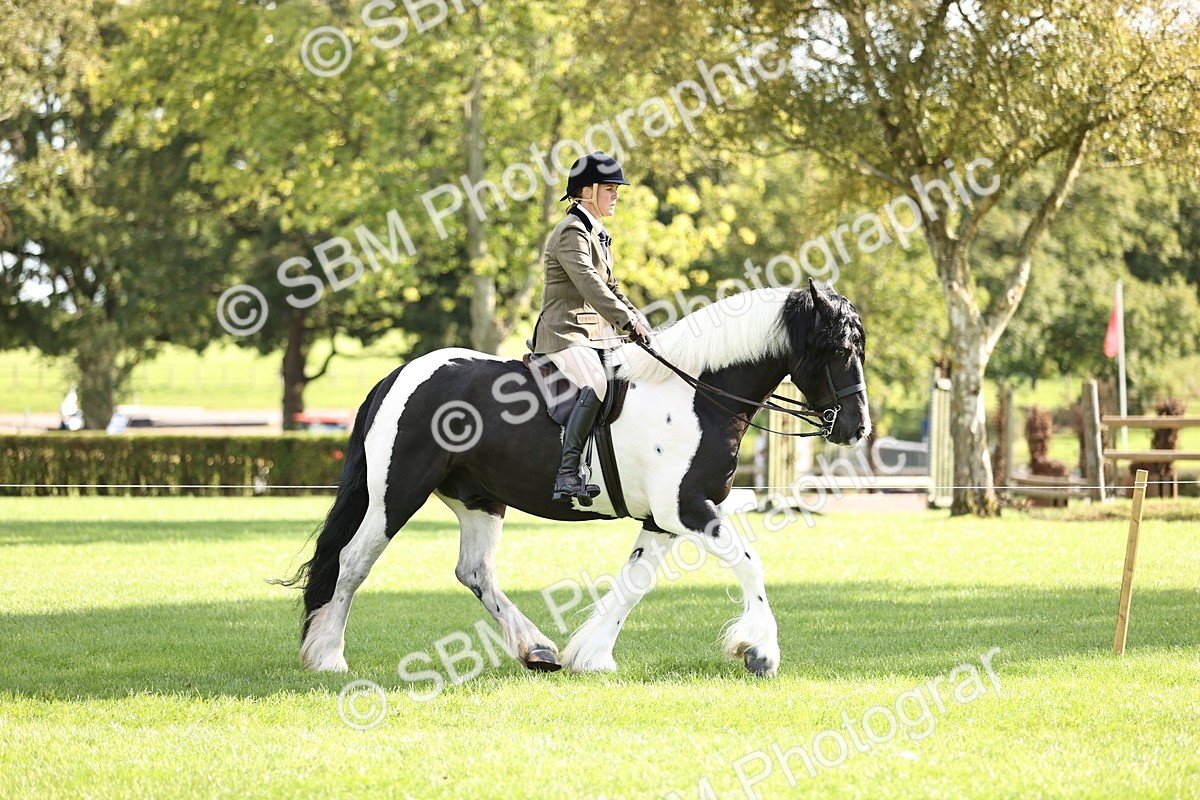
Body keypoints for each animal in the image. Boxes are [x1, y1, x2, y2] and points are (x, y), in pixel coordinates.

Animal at [288, 279, 869, 678]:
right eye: (841, 350)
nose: (857, 427)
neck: (696, 392)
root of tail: (399, 375)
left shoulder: (665, 518)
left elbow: (636, 581)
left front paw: (592, 655)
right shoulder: (687, 508)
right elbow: (750, 562)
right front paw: (760, 652)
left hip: (478, 498)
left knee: (474, 571)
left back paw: (537, 649)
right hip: (397, 494)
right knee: (352, 561)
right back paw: (329, 656)